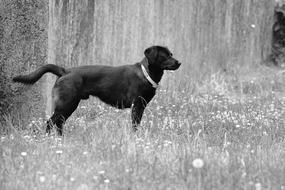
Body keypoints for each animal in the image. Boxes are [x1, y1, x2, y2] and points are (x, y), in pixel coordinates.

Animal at [12, 45, 180, 135]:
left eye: (171, 54)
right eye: (165, 56)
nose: (179, 62)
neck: (146, 73)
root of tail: (65, 71)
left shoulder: (141, 106)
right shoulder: (137, 106)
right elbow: (135, 125)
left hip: (69, 106)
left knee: (58, 123)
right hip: (67, 103)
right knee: (50, 122)